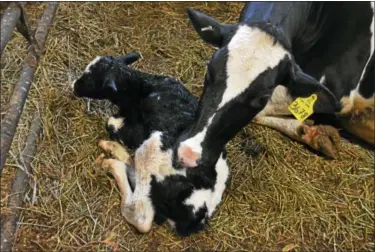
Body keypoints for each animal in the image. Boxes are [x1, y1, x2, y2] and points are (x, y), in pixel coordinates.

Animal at [70, 52, 229, 236]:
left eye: (90, 80)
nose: (74, 86)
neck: (144, 88)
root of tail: (201, 214)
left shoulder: (136, 129)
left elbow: (112, 124)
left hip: (153, 148)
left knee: (140, 216)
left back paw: (113, 164)